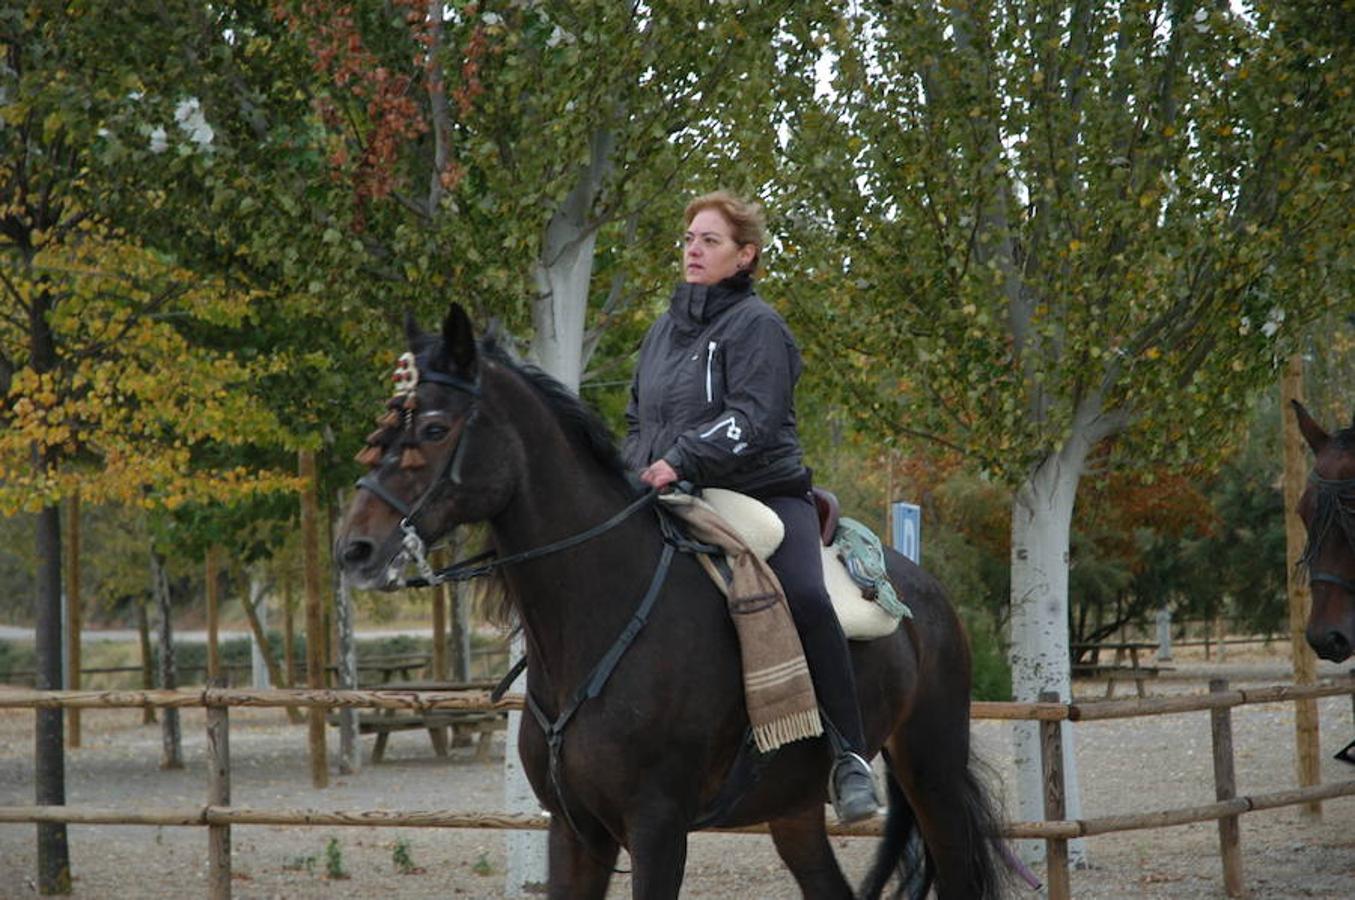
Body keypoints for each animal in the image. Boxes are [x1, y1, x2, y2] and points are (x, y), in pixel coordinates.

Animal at [333, 306, 1002, 894]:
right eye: (383, 431)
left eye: (433, 429)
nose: (354, 549)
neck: (603, 615)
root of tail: (926, 592)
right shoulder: (575, 834)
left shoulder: (657, 829)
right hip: (794, 808)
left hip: (933, 775)